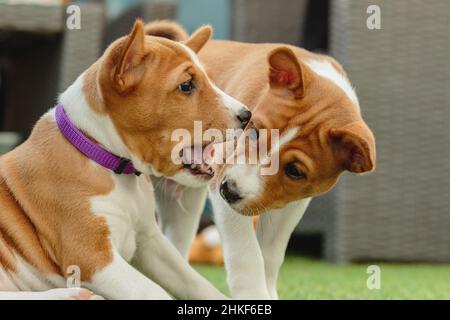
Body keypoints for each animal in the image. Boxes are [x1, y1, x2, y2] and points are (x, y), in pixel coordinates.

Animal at [0, 20, 250, 300]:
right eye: (186, 85)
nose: (247, 115)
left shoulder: (150, 240)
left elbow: (195, 281)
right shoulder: (91, 256)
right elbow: (155, 292)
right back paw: (74, 294)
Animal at [145, 20, 376, 300]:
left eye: (294, 171)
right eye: (254, 130)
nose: (229, 190)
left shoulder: (292, 205)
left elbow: (271, 254)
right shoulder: (222, 177)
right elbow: (247, 255)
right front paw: (253, 295)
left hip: (183, 201)